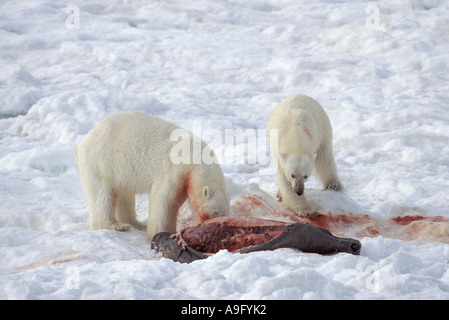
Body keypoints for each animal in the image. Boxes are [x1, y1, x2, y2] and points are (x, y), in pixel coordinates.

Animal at [75, 111, 229, 239]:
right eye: (215, 213)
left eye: (224, 214)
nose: (215, 224)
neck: (196, 157)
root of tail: (84, 141)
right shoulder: (174, 169)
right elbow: (164, 200)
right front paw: (161, 233)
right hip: (101, 163)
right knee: (101, 195)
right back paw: (116, 225)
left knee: (124, 195)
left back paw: (136, 223)